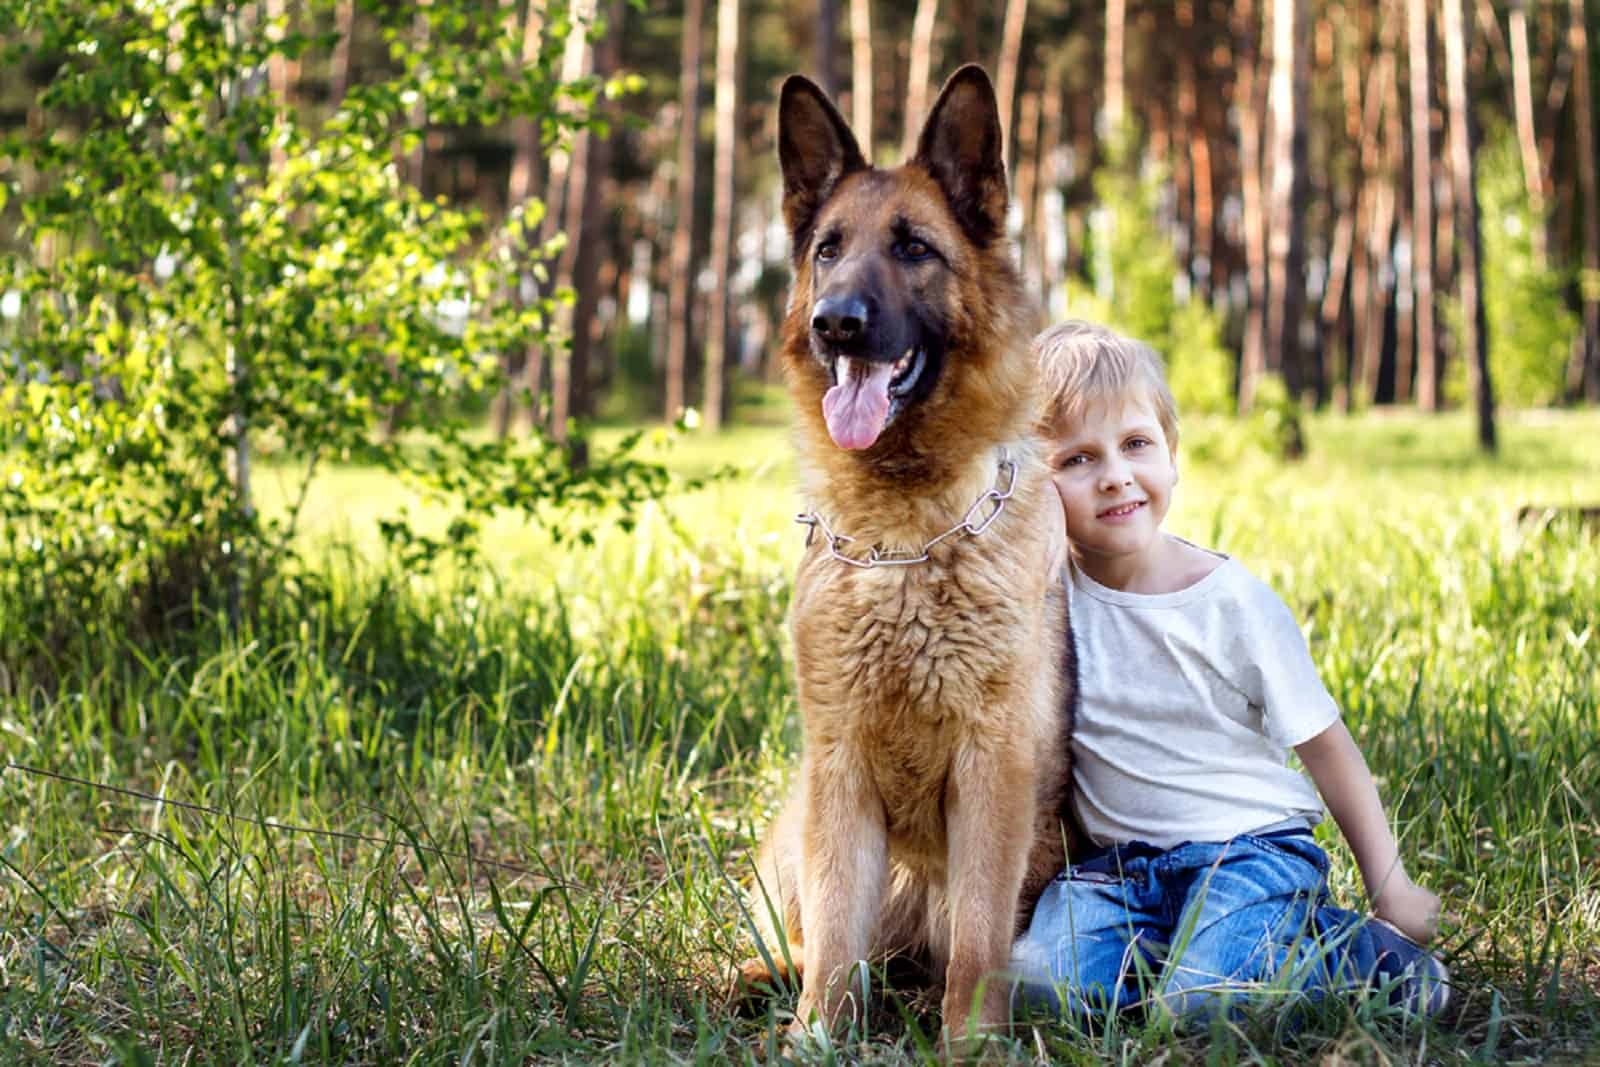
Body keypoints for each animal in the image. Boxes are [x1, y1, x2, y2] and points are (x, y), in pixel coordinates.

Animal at [745, 66, 1075, 1043]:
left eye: (915, 249)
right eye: (828, 250)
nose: (836, 324)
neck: (903, 546)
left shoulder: (992, 775)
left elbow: (977, 941)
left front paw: (971, 1043)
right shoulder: (841, 771)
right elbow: (833, 947)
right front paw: (814, 1039)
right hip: (798, 823)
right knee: (804, 941)